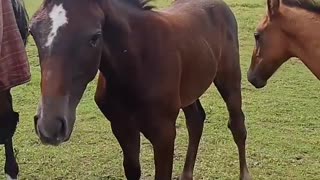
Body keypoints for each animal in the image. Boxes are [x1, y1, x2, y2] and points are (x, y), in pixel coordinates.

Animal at [29, 0, 250, 179]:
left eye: (95, 37)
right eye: (33, 32)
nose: (50, 126)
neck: (137, 65)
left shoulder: (164, 134)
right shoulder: (122, 127)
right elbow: (133, 170)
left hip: (229, 79)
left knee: (237, 125)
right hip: (189, 89)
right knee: (196, 121)